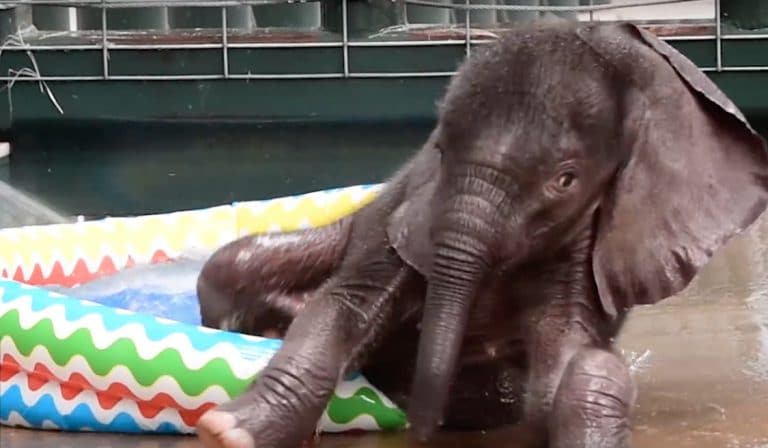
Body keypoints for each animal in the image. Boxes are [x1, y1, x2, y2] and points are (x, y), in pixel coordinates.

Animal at [194, 20, 768, 448]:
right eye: (440, 149)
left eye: (566, 180)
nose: (421, 430)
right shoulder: (411, 209)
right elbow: (346, 307)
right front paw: (227, 431)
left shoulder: (586, 234)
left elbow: (572, 363)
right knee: (233, 264)